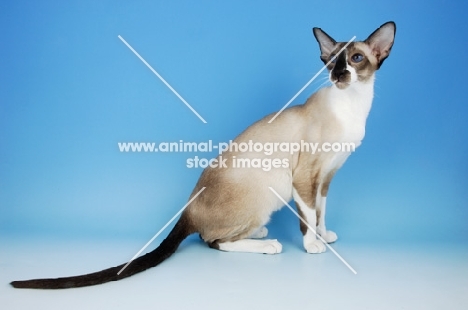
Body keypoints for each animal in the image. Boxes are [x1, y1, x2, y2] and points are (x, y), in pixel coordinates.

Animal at [10, 21, 394, 288]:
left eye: (356, 59)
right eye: (332, 62)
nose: (339, 74)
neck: (353, 107)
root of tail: (188, 207)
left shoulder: (326, 177)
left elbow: (321, 213)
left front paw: (325, 237)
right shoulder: (305, 178)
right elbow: (308, 218)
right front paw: (313, 246)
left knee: (218, 237)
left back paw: (258, 234)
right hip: (271, 189)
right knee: (214, 242)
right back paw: (268, 244)